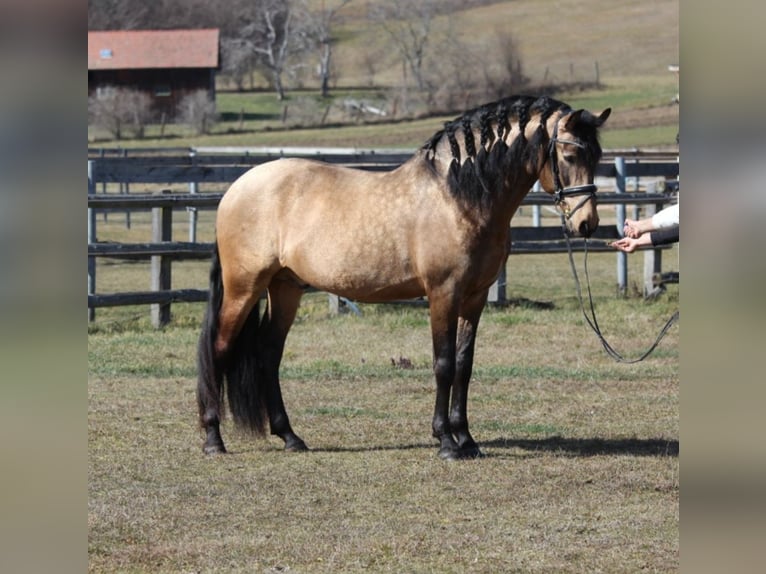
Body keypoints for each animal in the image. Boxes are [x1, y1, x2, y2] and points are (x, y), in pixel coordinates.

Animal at [196, 95, 612, 464]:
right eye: (570, 156)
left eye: (597, 157)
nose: (586, 224)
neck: (459, 196)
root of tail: (236, 189)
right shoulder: (443, 293)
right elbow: (444, 363)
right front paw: (446, 442)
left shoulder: (475, 297)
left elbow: (464, 365)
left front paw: (467, 439)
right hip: (244, 287)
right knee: (219, 348)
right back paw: (214, 439)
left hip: (285, 289)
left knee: (268, 354)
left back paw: (290, 437)